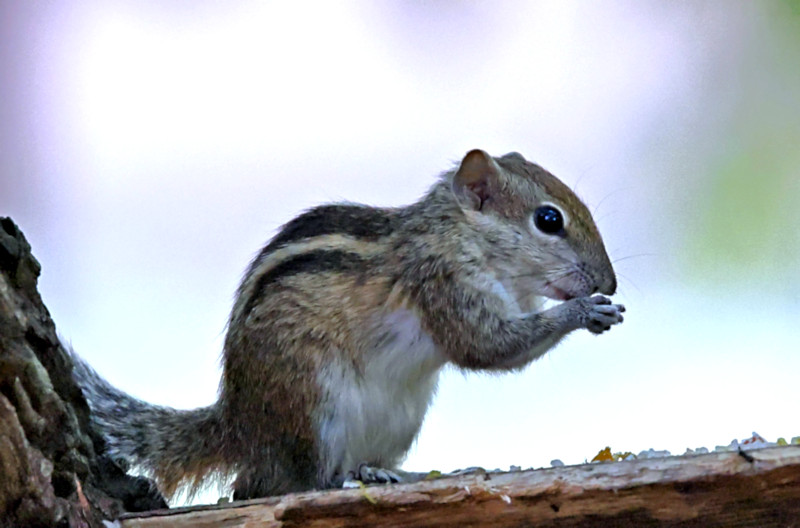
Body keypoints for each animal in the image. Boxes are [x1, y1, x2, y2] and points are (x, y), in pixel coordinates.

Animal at [70, 149, 625, 501]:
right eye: (549, 220)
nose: (611, 283)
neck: (459, 235)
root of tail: (239, 425)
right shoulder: (444, 284)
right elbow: (487, 348)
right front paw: (584, 311)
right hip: (314, 397)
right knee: (297, 482)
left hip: (401, 416)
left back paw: (401, 473)